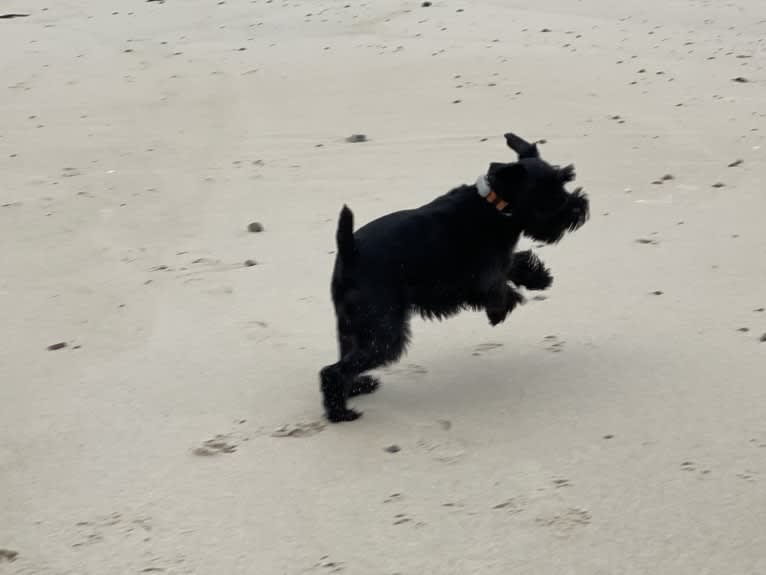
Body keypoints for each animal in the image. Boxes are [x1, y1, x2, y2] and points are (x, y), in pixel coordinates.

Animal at [320, 135, 592, 424]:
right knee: (333, 371)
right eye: (547, 191)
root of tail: (350, 250)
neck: (493, 206)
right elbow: (499, 287)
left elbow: (512, 265)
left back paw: (357, 388)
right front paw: (500, 310)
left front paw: (538, 278)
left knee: (345, 360)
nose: (579, 208)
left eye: (564, 180)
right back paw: (340, 412)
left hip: (353, 327)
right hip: (383, 333)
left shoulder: (495, 263)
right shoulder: (478, 278)